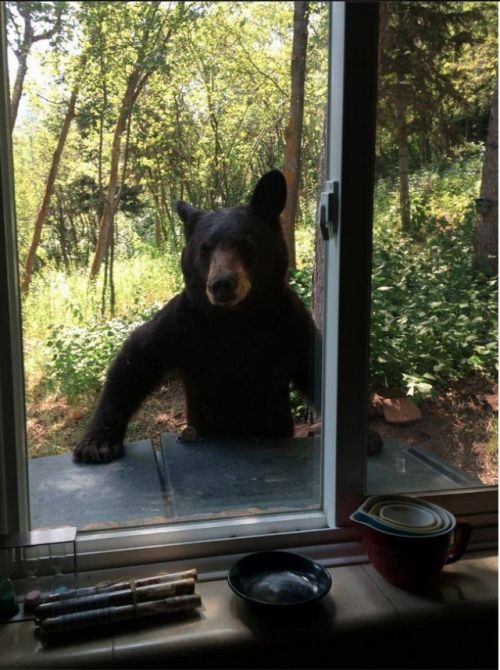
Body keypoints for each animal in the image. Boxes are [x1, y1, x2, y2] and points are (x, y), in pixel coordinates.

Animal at [73, 170, 321, 463]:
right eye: (205, 248)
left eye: (246, 243)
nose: (221, 284)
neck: (237, 318)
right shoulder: (186, 322)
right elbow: (137, 358)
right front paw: (97, 443)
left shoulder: (287, 322)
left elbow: (315, 363)